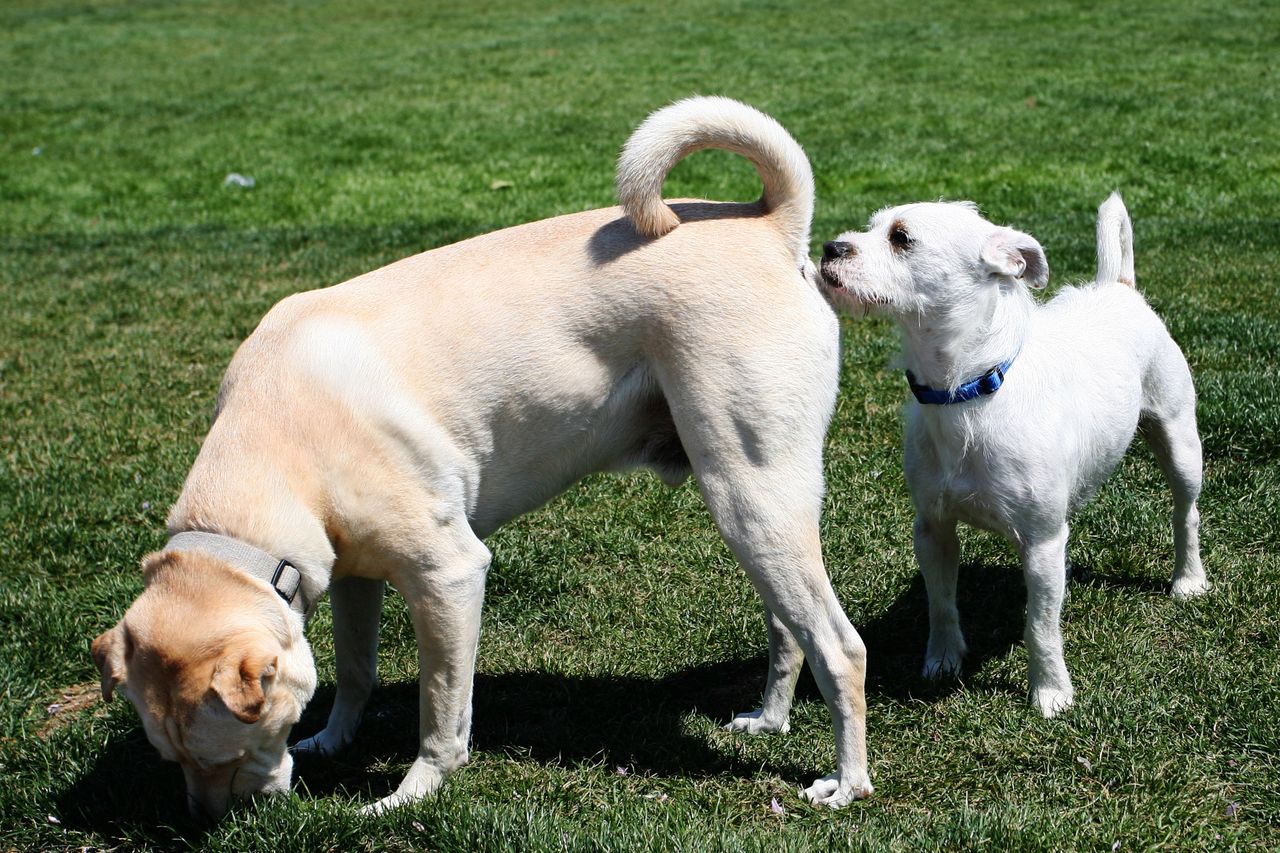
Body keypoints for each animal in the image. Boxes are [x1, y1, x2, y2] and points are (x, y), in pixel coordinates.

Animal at [87, 97, 870, 819]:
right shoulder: (353, 576)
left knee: (840, 646)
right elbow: (356, 671)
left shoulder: (449, 576)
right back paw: (768, 720)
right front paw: (333, 740)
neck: (276, 448)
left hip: (749, 495)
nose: (208, 820)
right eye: (171, 757)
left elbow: (440, 713)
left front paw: (409, 794)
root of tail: (769, 222)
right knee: (789, 627)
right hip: (757, 507)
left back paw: (847, 782)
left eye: (230, 750)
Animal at [819, 190, 1208, 712]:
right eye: (871, 226)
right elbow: (941, 604)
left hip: (1180, 443)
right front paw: (942, 659)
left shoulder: (1041, 542)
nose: (829, 248)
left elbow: (1040, 626)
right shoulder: (933, 528)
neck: (966, 394)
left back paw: (1188, 579)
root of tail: (1119, 288)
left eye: (901, 237)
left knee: (1185, 514)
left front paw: (1050, 692)